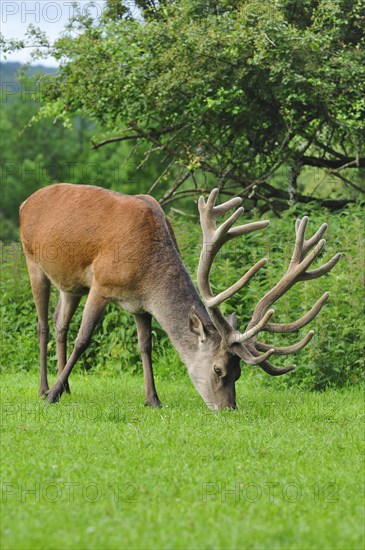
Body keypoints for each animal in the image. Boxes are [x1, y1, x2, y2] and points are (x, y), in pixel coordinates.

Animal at [19, 185, 338, 410]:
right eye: (219, 369)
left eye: (238, 374)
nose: (229, 408)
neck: (147, 270)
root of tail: (25, 202)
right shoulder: (101, 284)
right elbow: (83, 340)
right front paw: (52, 397)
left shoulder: (139, 304)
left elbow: (145, 346)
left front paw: (152, 399)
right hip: (33, 262)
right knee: (43, 324)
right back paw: (45, 389)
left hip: (71, 285)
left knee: (60, 323)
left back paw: (66, 386)